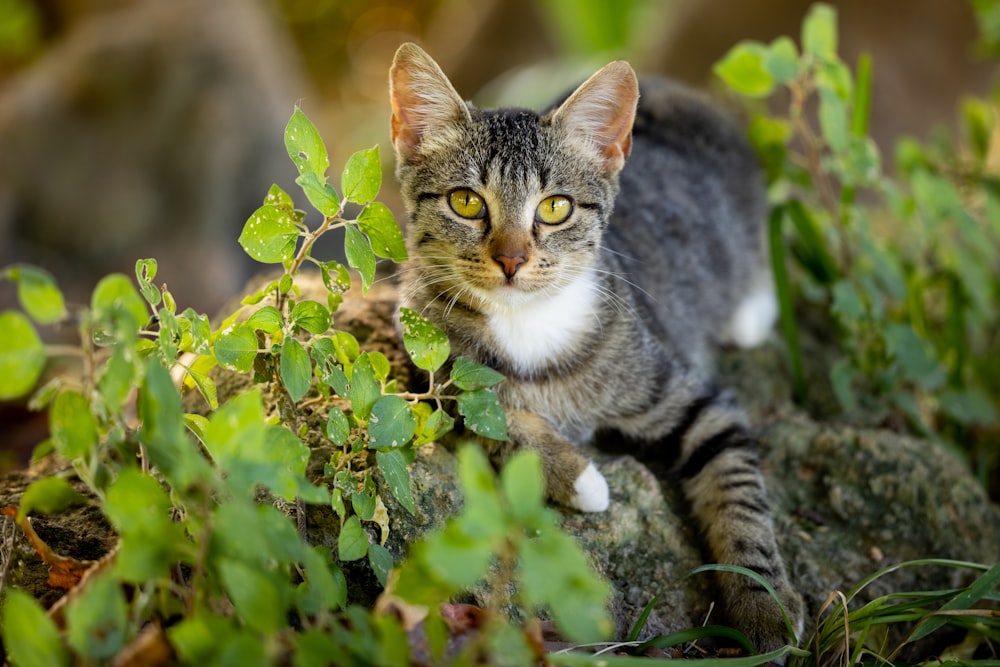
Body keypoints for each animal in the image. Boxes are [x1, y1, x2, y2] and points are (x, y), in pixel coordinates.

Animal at [386, 44, 800, 656]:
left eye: (555, 208)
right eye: (465, 202)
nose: (511, 259)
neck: (529, 323)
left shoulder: (699, 402)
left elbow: (739, 494)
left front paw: (763, 607)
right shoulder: (427, 362)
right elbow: (486, 415)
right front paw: (581, 479)